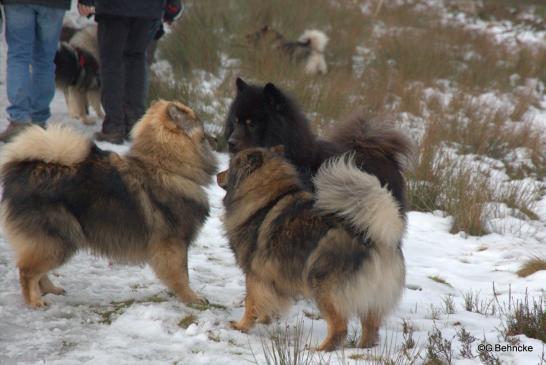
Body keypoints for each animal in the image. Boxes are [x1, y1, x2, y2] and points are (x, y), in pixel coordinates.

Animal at [0, 99, 217, 308]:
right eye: (200, 123)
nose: (214, 137)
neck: (164, 166)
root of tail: (21, 170)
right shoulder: (174, 243)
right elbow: (182, 275)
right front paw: (192, 298)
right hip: (60, 238)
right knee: (27, 271)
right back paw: (34, 301)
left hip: (54, 241)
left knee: (38, 270)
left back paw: (50, 290)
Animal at [219, 146, 406, 352]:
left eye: (229, 167)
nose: (218, 175)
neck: (267, 199)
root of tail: (374, 236)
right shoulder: (272, 279)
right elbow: (267, 302)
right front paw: (264, 319)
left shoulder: (254, 274)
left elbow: (250, 302)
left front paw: (241, 326)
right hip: (371, 297)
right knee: (371, 327)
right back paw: (362, 347)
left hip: (324, 287)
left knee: (339, 327)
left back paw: (320, 349)